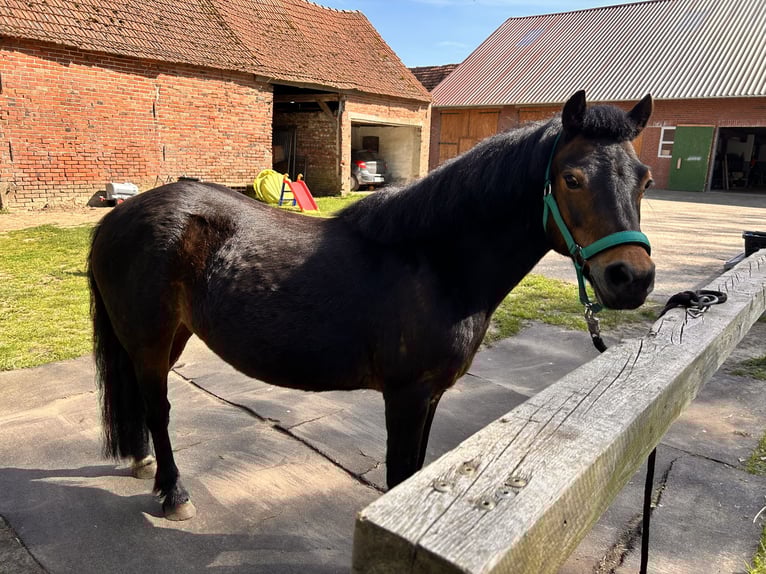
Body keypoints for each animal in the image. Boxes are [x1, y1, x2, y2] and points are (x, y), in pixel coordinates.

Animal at [88, 90, 656, 521]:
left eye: (644, 178)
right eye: (572, 178)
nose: (632, 278)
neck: (435, 262)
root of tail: (119, 216)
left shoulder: (430, 396)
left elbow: (415, 469)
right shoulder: (406, 395)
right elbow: (401, 472)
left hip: (170, 336)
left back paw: (143, 463)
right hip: (151, 339)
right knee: (159, 409)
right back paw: (173, 492)